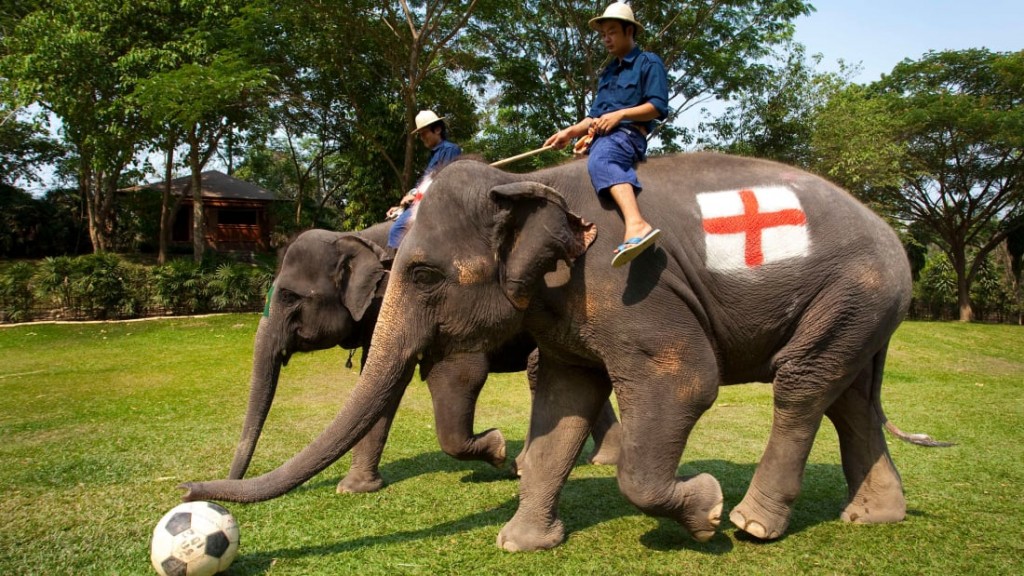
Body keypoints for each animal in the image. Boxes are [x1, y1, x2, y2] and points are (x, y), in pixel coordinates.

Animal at [230, 223, 620, 495]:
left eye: (289, 297)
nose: (230, 479)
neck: (356, 237)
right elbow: (383, 385)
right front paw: (355, 489)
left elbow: (429, 376)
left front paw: (496, 450)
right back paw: (603, 458)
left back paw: (525, 465)